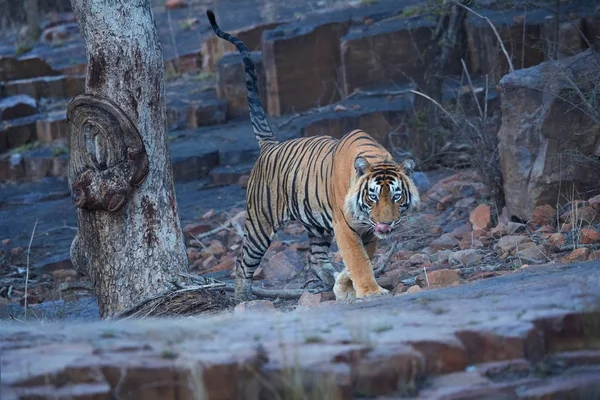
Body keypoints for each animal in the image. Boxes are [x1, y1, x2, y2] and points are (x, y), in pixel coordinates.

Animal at [204, 9, 420, 302]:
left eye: (396, 196)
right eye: (373, 196)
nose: (386, 225)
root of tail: (270, 145)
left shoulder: (367, 230)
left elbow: (363, 257)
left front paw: (346, 285)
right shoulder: (346, 225)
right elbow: (358, 260)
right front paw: (371, 291)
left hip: (316, 226)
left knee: (315, 259)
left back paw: (332, 283)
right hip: (260, 222)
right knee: (243, 261)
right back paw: (243, 298)